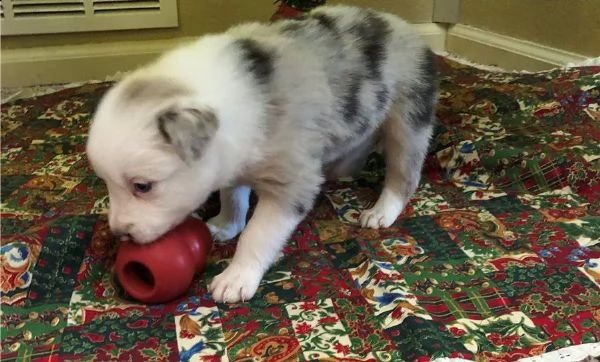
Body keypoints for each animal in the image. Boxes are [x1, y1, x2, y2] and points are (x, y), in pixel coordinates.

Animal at [86, 5, 438, 302]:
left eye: (143, 186)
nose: (119, 234)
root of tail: (408, 28)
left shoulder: (291, 183)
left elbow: (257, 234)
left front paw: (236, 278)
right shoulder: (233, 158)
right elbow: (233, 197)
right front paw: (225, 224)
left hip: (408, 118)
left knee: (404, 174)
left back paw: (381, 211)